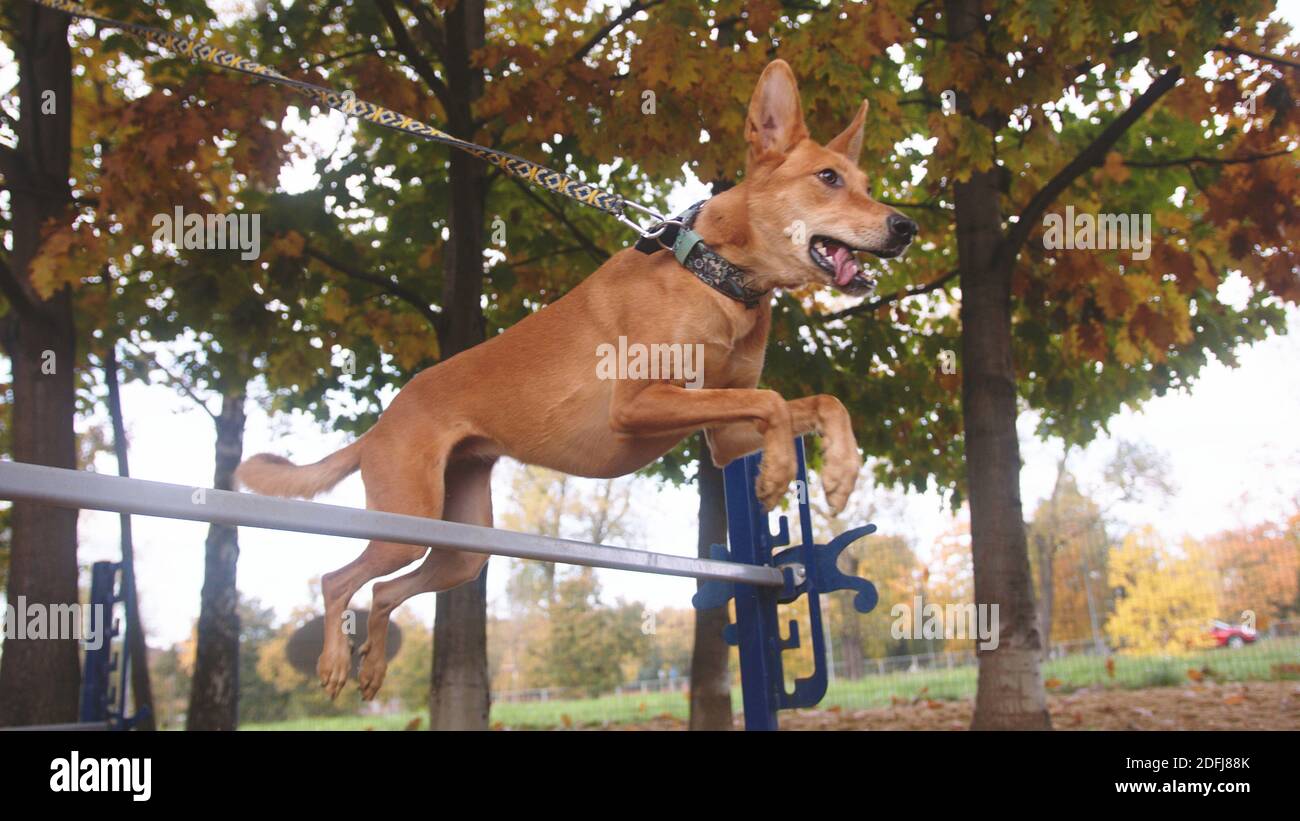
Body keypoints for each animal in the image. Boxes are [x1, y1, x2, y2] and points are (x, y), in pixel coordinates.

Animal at [233, 59, 915, 701]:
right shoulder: (639, 403)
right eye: (828, 179)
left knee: (382, 592)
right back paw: (333, 663)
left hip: (460, 546)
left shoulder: (725, 437)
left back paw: (371, 667)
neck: (715, 274)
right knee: (339, 580)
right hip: (406, 521)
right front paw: (776, 475)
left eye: (866, 185)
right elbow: (772, 400)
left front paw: (838, 470)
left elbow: (818, 401)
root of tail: (378, 427)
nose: (905, 228)